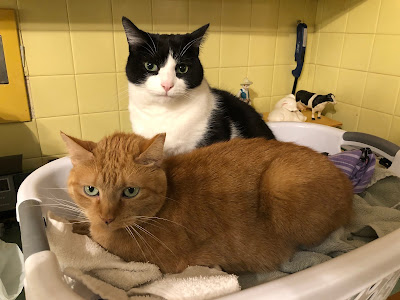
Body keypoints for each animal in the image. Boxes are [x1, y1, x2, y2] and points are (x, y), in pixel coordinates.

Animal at [61, 132, 352, 274]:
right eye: (91, 190)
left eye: (130, 191)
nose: (106, 218)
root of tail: (344, 177)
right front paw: (74, 223)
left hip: (281, 183)